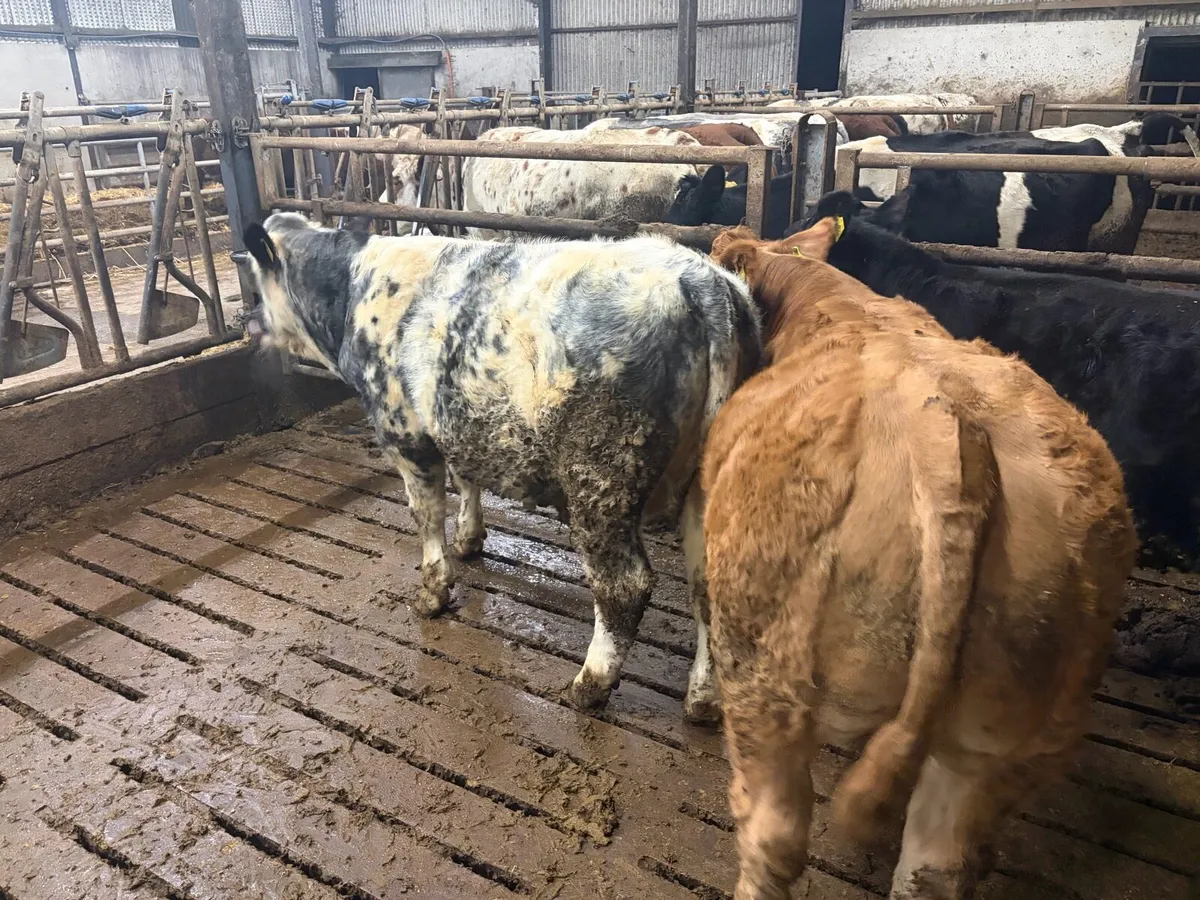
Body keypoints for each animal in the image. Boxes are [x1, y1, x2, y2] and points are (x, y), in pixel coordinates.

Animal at [237, 212, 763, 721]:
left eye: (257, 281)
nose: (249, 322)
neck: (351, 291)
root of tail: (701, 279)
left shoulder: (405, 433)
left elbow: (426, 516)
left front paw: (432, 594)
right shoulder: (459, 421)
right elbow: (467, 479)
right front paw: (469, 540)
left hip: (600, 479)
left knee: (623, 587)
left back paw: (588, 687)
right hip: (705, 489)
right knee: (709, 584)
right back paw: (703, 700)